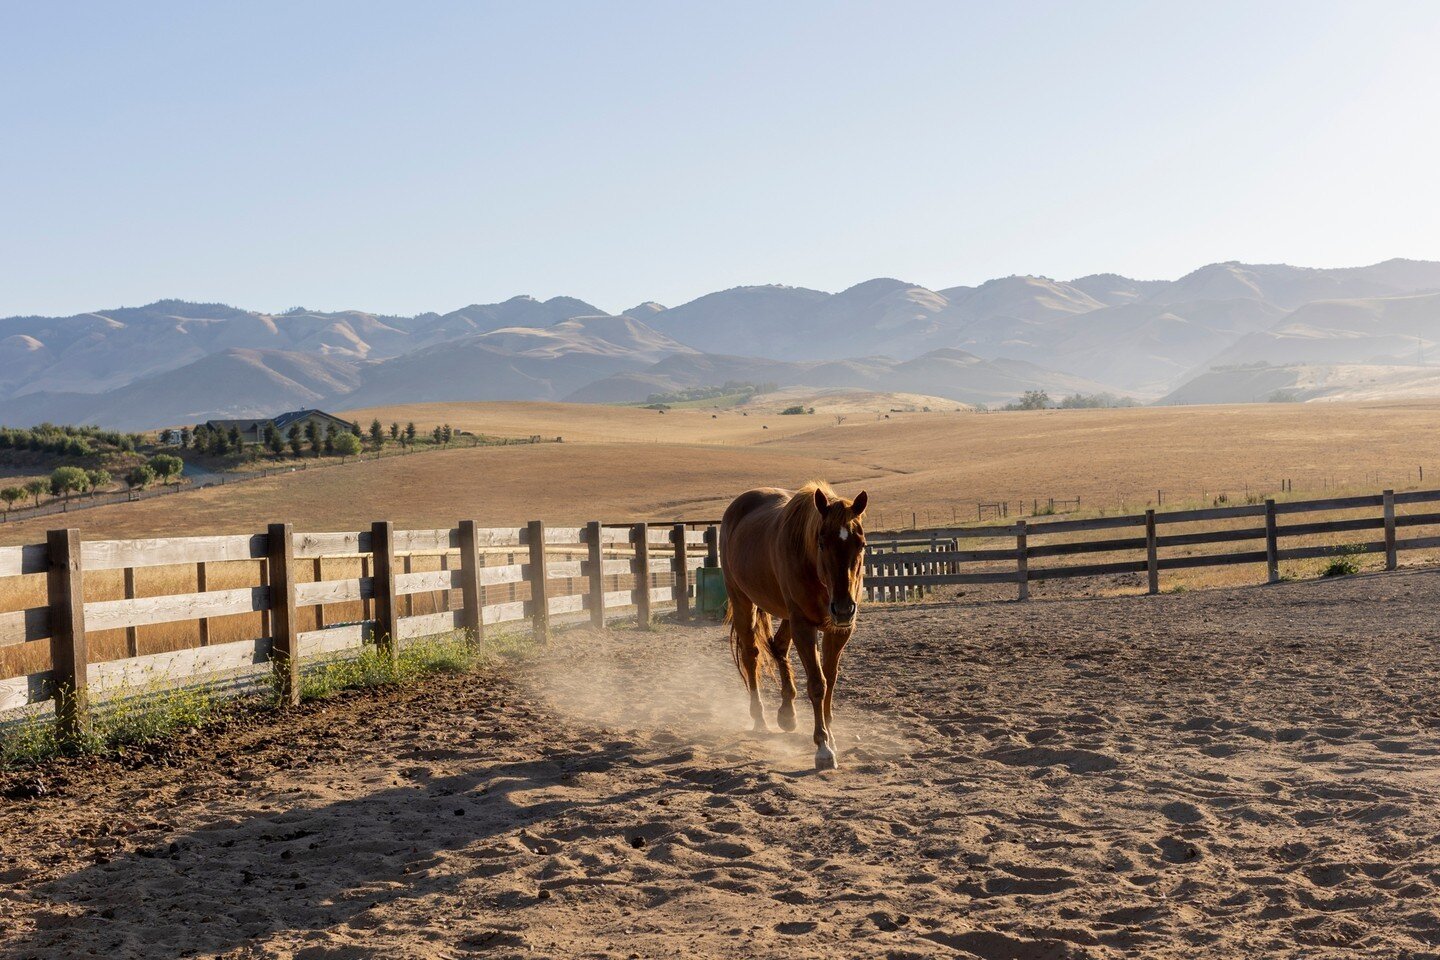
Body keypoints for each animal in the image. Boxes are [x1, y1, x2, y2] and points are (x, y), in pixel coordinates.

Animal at [720, 480, 864, 771]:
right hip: (742, 600)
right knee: (751, 657)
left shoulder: (839, 630)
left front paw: (831, 737)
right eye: (822, 543)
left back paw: (787, 713)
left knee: (779, 646)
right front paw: (823, 748)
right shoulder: (804, 626)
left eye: (861, 544)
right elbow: (818, 684)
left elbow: (830, 681)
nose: (844, 608)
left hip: (788, 615)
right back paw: (759, 718)